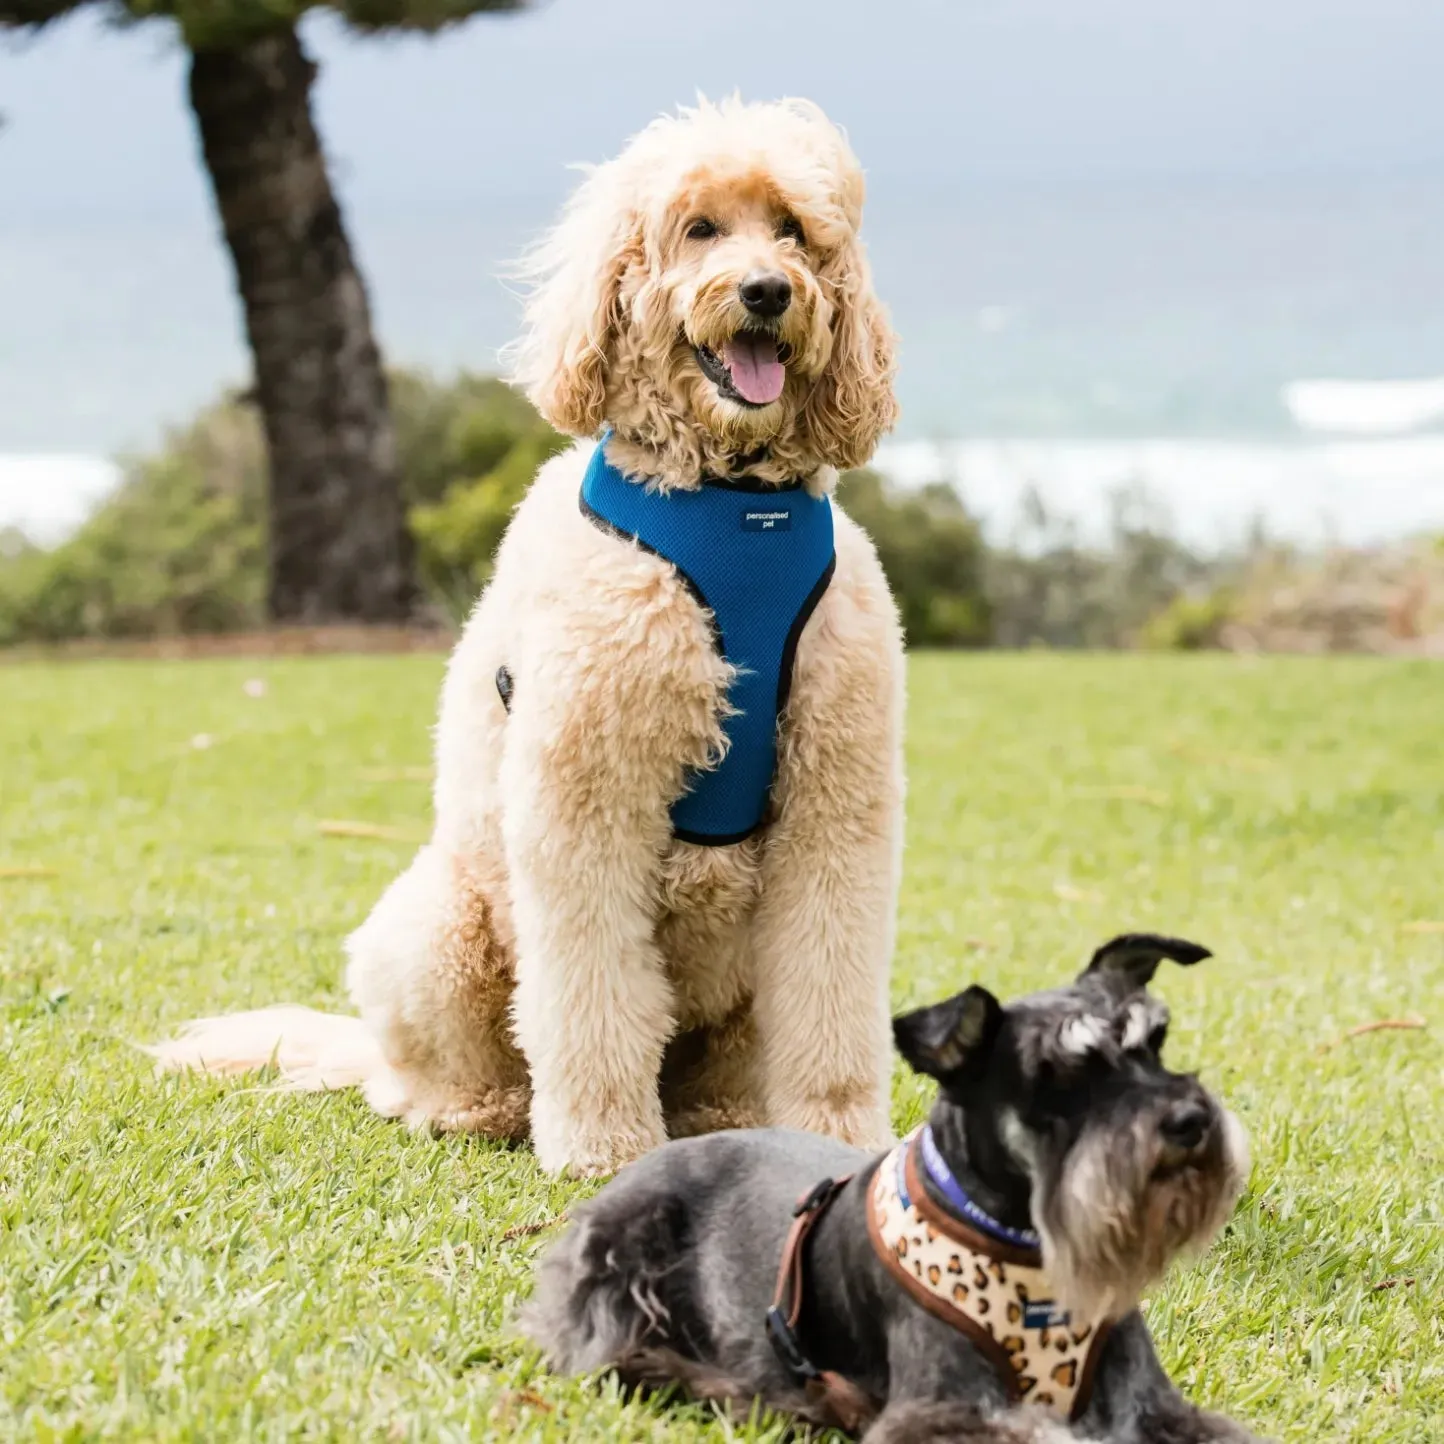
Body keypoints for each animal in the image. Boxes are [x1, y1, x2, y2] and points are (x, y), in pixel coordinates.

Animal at [155, 96, 901, 1178]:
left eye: (795, 231)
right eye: (699, 228)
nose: (766, 291)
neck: (728, 501)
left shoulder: (834, 797)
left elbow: (832, 987)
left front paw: (833, 1142)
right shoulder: (585, 791)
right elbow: (590, 997)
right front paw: (601, 1149)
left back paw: (724, 1118)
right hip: (439, 928)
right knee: (422, 1075)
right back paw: (485, 1110)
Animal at [525, 935, 1259, 1444]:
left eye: (1154, 1042)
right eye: (1054, 1075)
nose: (1189, 1123)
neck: (1025, 1249)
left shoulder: (1152, 1404)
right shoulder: (942, 1412)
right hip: (620, 1264)